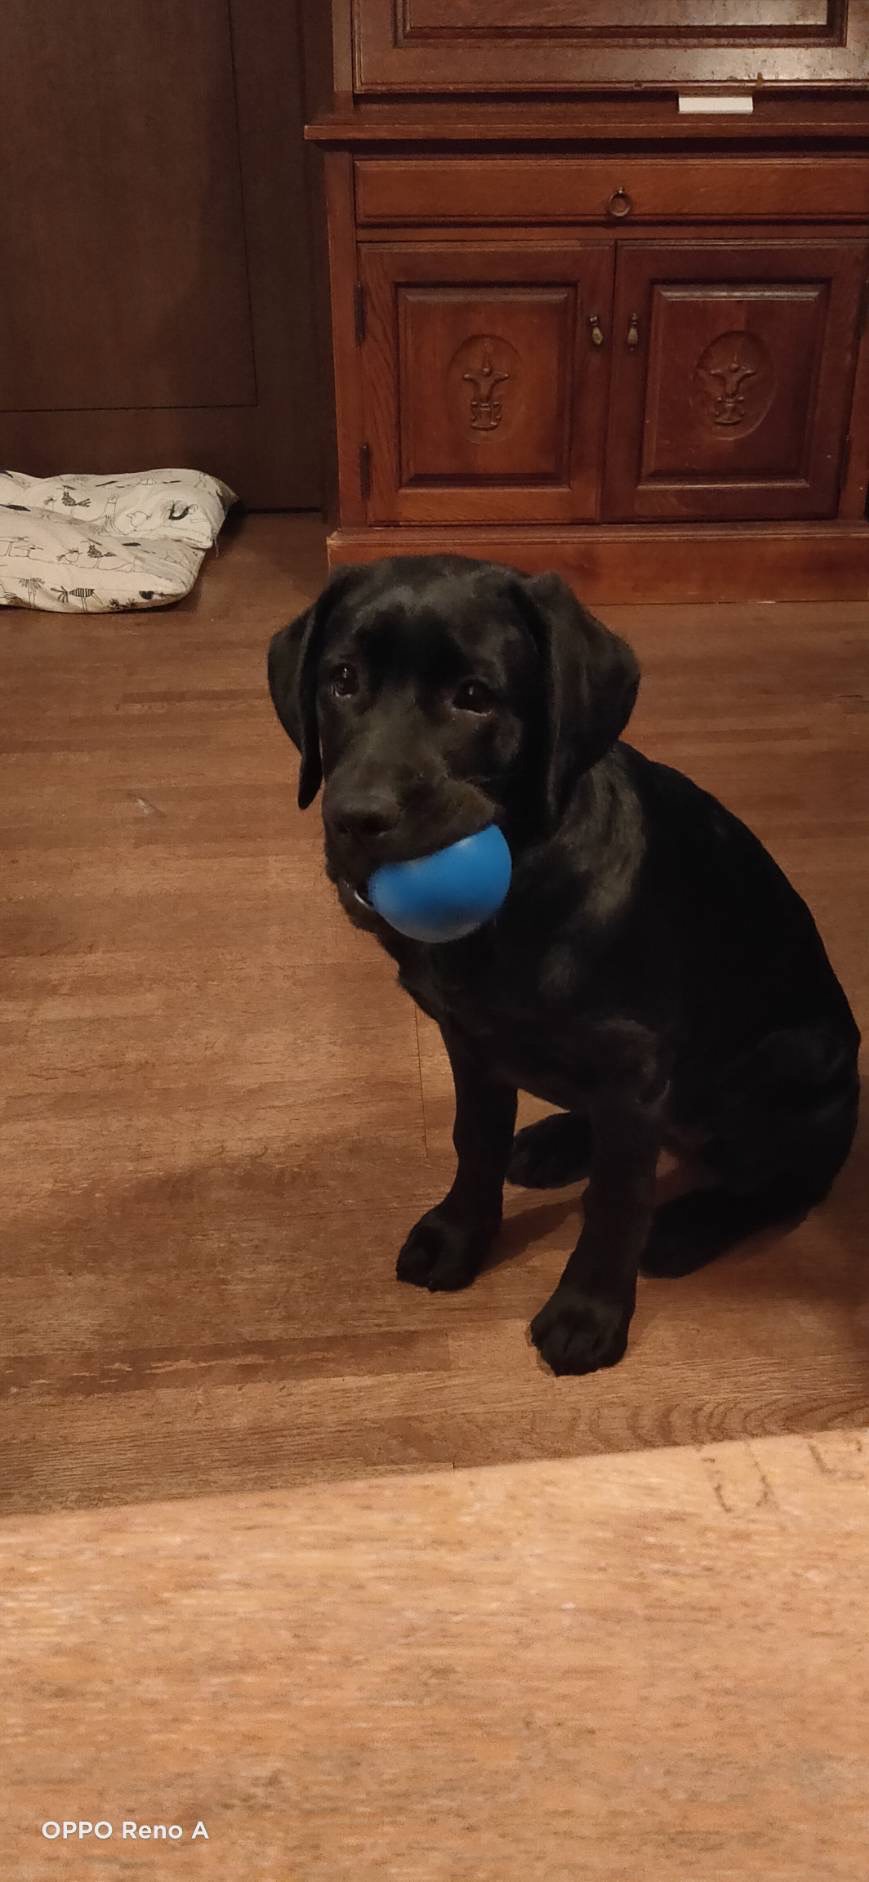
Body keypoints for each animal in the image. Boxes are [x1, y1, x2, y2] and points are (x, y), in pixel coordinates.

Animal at [267, 549, 861, 1377]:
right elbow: (475, 1141)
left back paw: (689, 1226)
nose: (356, 819)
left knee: (787, 1182)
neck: (520, 890)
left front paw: (588, 1311)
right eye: (342, 679)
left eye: (474, 697)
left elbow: (616, 1199)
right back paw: (557, 1142)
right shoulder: (470, 1042)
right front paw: (459, 1237)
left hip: (791, 1064)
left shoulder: (633, 1066)